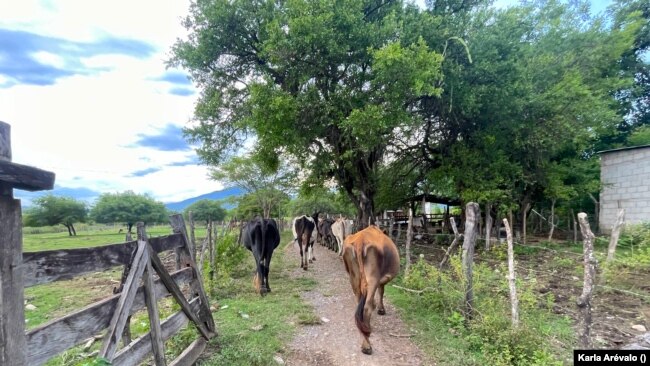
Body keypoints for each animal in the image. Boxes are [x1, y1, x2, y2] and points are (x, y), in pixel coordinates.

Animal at [342, 226, 398, 354]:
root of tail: (360, 240)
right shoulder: (381, 280)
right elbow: (381, 291)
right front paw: (381, 309)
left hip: (354, 277)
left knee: (359, 305)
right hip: (372, 277)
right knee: (366, 307)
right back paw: (367, 345)